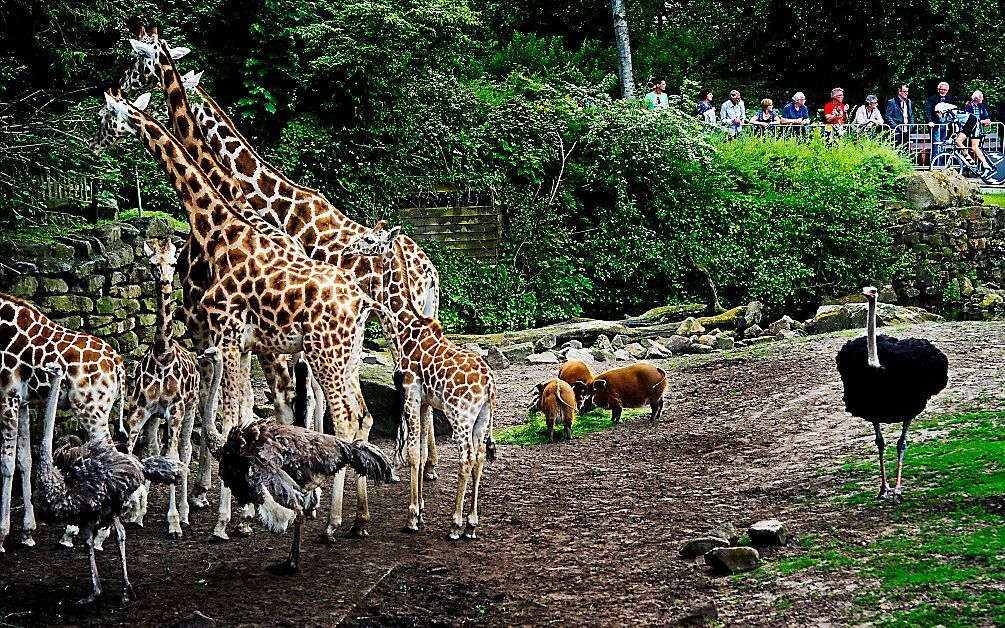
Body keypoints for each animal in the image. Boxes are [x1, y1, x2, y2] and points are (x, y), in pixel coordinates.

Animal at [0, 291, 126, 550]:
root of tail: (117, 364)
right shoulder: (23, 402)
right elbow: (24, 460)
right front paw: (27, 532)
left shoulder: (7, 398)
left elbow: (6, 465)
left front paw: (1, 536)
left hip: (92, 410)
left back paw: (98, 533)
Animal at [122, 237, 198, 534]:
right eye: (153, 262)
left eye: (174, 262)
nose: (165, 281)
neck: (162, 355)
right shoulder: (139, 412)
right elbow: (132, 453)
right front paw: (133, 510)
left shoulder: (175, 411)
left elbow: (174, 457)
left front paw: (174, 522)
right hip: (155, 419)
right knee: (155, 451)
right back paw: (142, 513)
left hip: (191, 409)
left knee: (185, 452)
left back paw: (186, 513)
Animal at [343, 226, 496, 538]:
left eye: (369, 239)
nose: (348, 249)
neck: (407, 326)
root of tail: (489, 384)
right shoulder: (425, 400)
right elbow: (424, 451)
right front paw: (422, 510)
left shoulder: (410, 390)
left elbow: (413, 451)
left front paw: (412, 517)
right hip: (482, 417)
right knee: (478, 457)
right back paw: (471, 524)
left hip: (460, 414)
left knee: (465, 457)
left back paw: (455, 524)